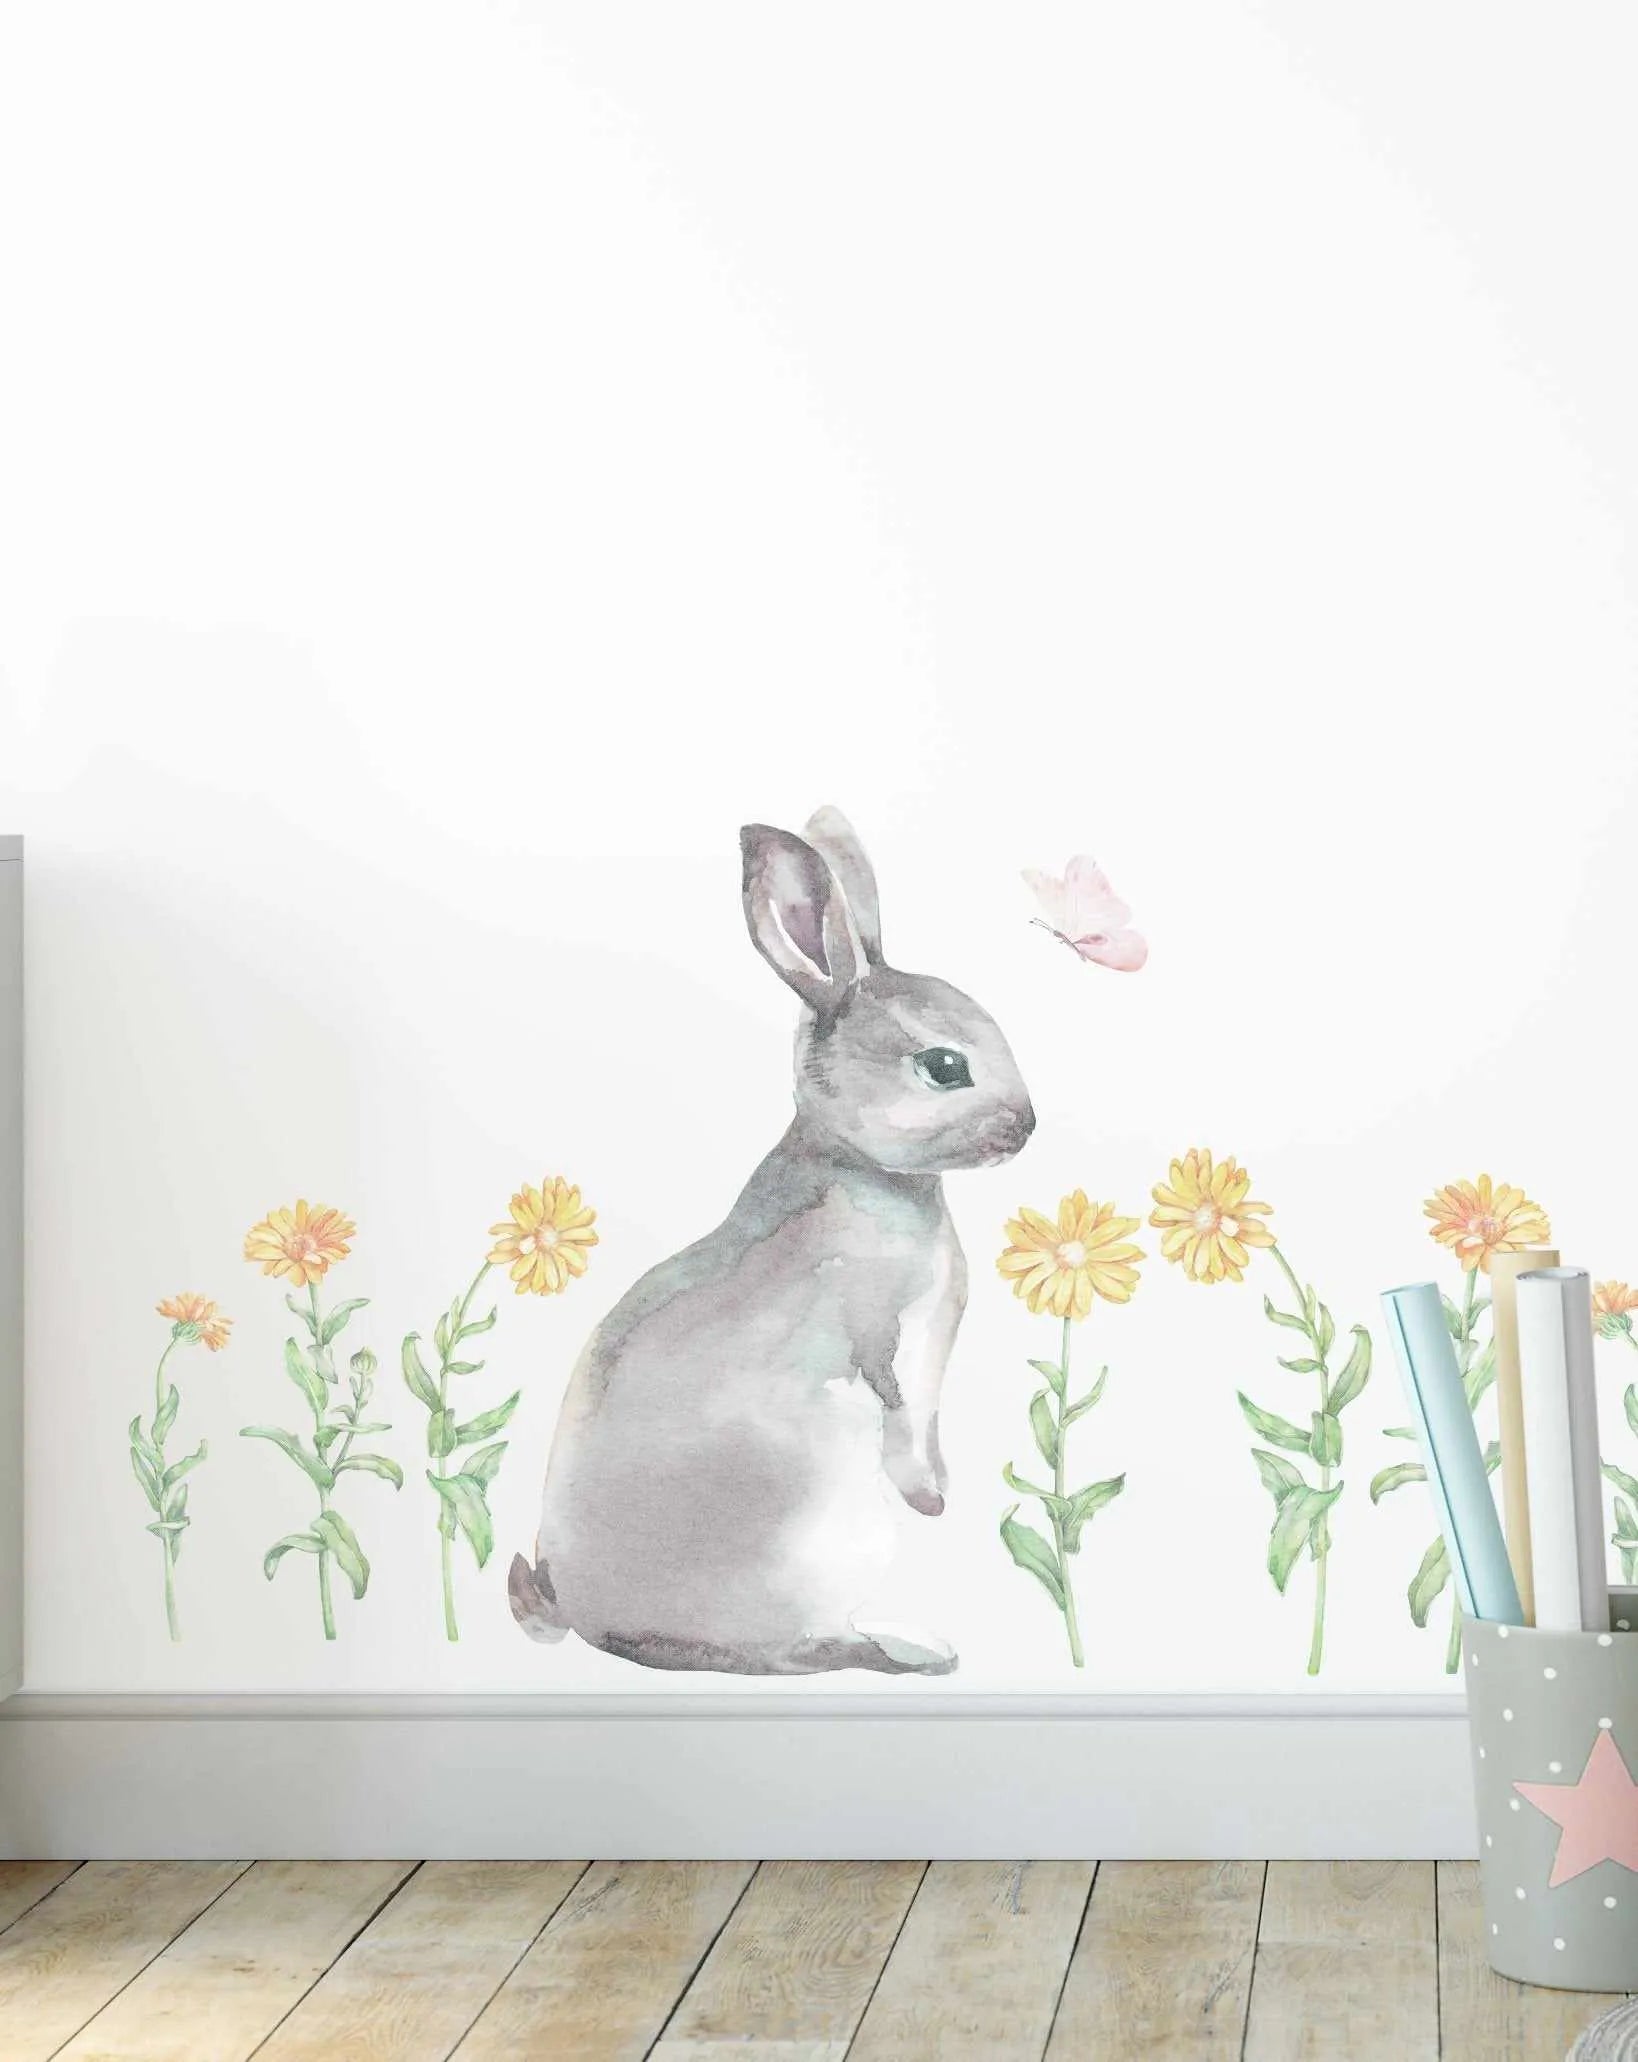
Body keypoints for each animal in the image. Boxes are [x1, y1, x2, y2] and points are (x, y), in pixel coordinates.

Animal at [509, 806, 1036, 1674]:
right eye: (944, 1066)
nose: (1027, 1128)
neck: (864, 1169)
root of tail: (583, 1616)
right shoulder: (883, 1335)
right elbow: (901, 1415)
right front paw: (931, 1501)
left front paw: (944, 1491)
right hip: (822, 1532)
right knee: (797, 1651)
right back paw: (918, 1649)